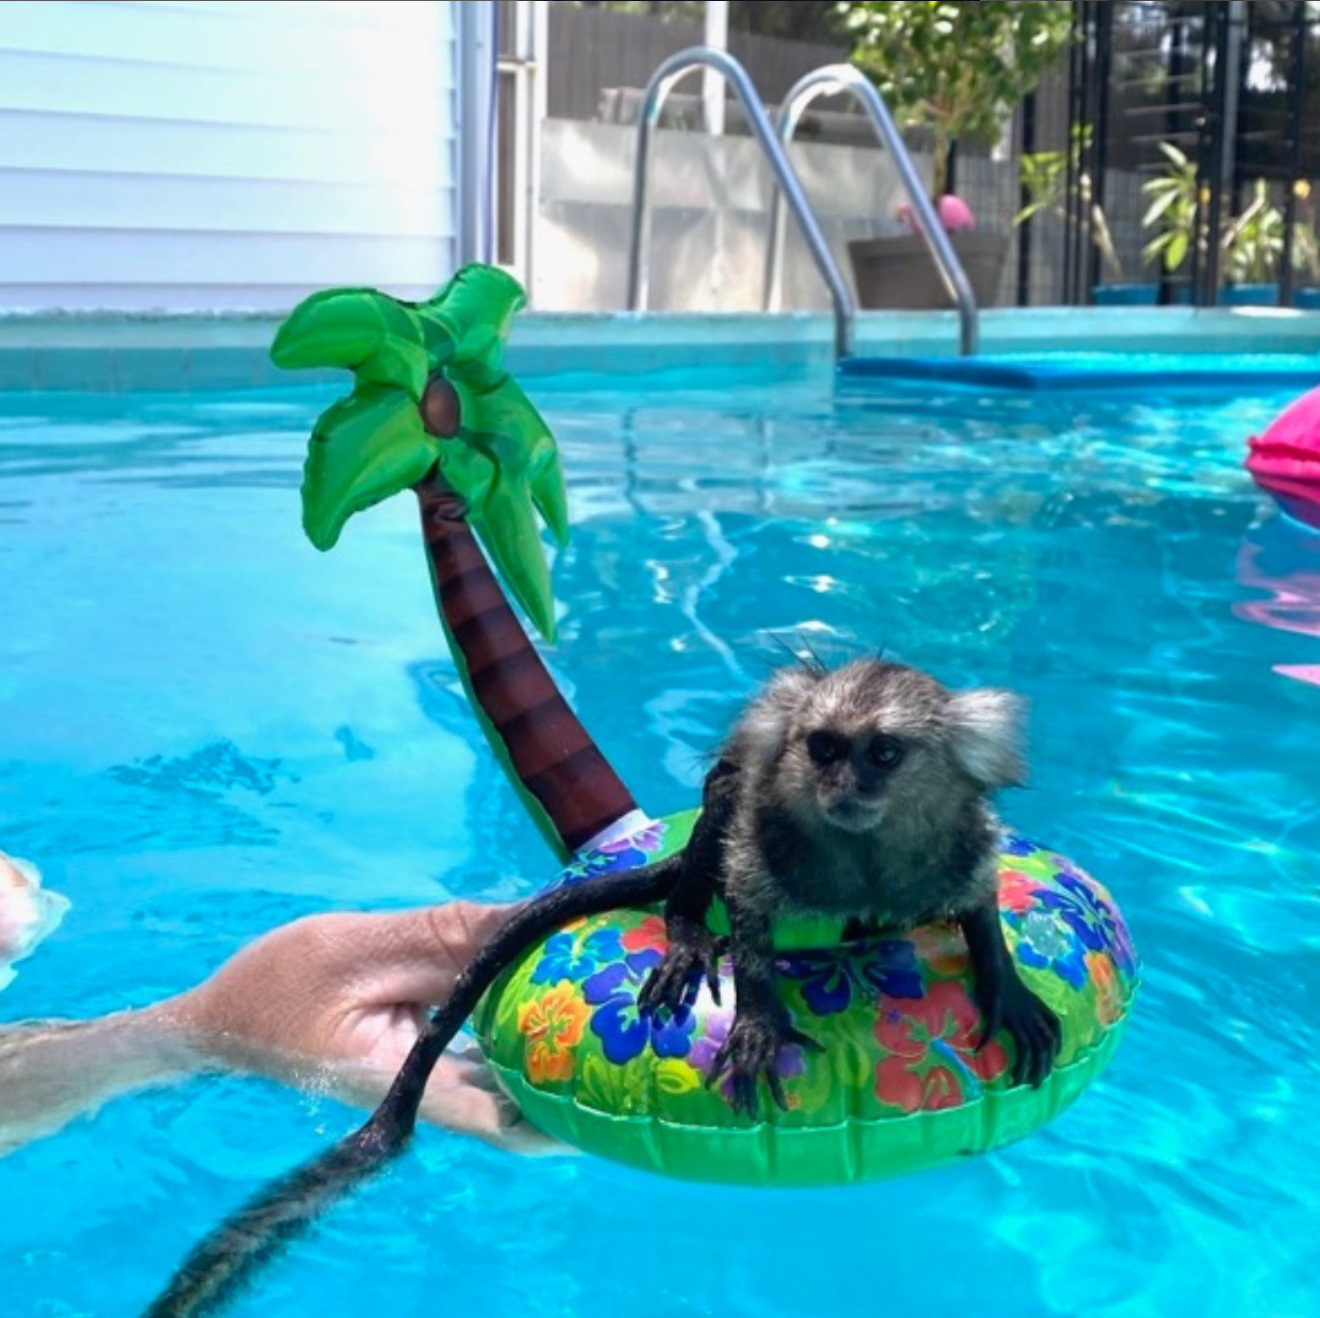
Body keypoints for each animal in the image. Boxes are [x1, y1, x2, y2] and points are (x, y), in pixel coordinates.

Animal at [638, 656, 1062, 1116]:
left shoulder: (961, 842)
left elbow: (980, 899)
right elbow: (747, 904)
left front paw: (1006, 985)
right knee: (722, 798)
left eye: (884, 752)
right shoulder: (767, 834)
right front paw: (758, 1019)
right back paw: (687, 932)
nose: (843, 786)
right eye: (824, 748)